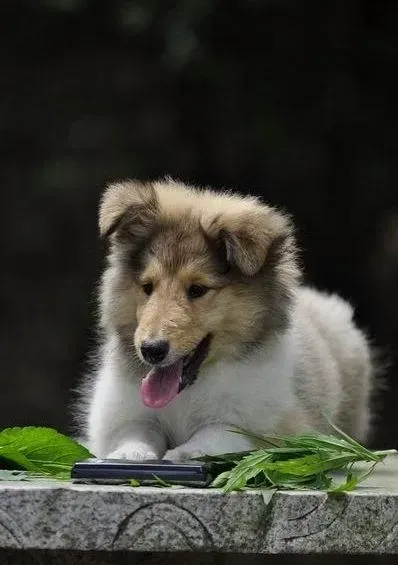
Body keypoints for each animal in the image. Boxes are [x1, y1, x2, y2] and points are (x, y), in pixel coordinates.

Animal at [81, 178, 374, 460]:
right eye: (147, 287)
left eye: (197, 289)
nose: (151, 350)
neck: (189, 391)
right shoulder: (121, 412)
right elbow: (136, 429)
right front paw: (129, 454)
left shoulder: (271, 423)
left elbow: (218, 430)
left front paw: (185, 452)